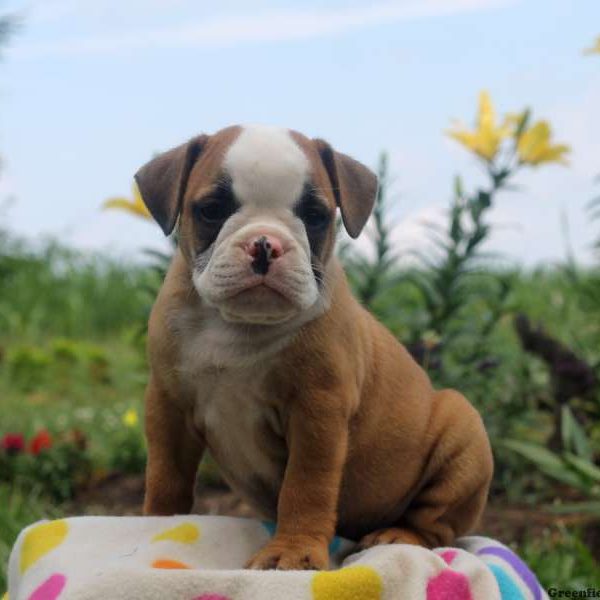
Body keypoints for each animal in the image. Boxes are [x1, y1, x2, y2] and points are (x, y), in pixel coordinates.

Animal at [136, 124, 492, 568]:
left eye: (316, 216)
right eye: (213, 210)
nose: (265, 243)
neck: (238, 326)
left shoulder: (316, 412)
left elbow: (306, 485)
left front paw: (293, 552)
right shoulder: (168, 404)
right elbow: (166, 475)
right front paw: (156, 527)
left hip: (463, 431)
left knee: (435, 524)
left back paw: (396, 536)